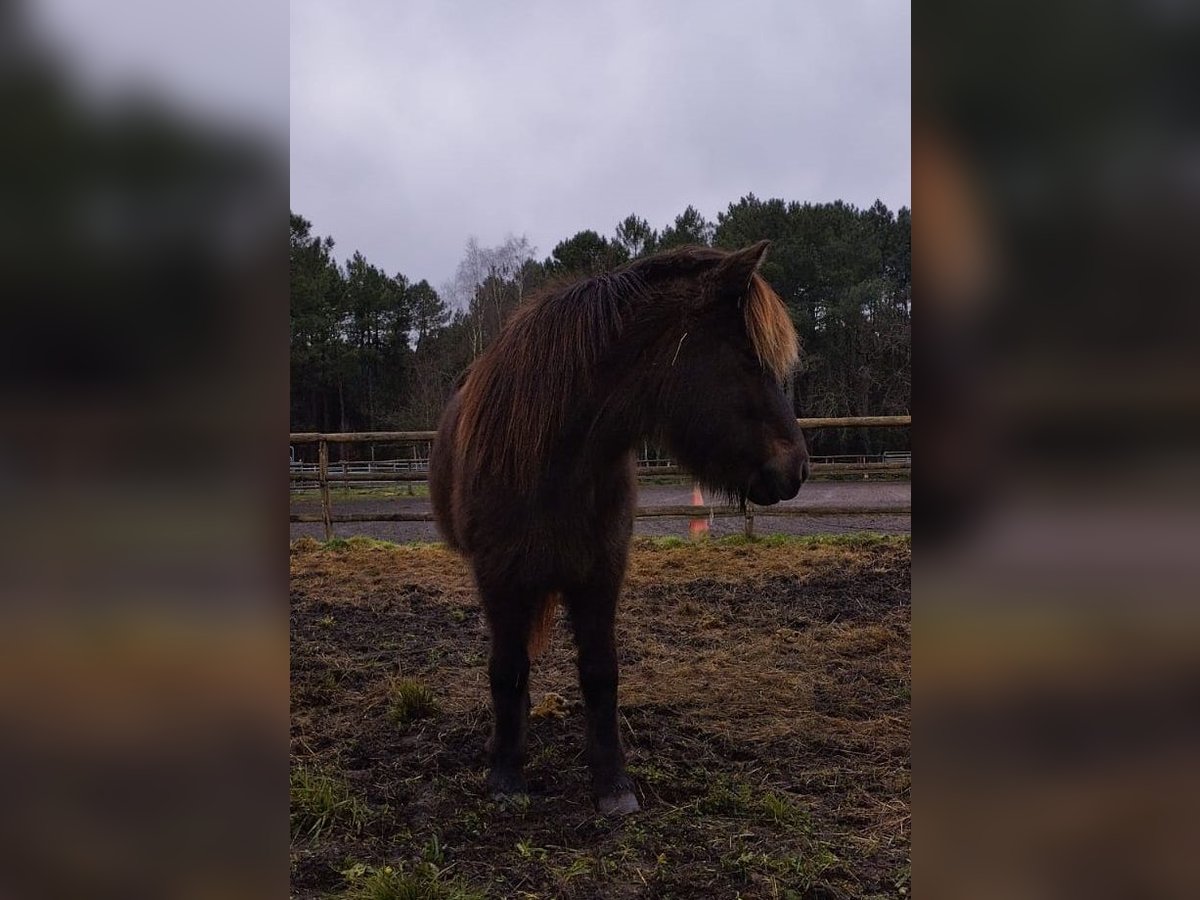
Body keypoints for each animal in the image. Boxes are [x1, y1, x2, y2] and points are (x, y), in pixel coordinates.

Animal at [427, 244, 811, 816]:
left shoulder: (601, 572)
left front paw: (612, 782)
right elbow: (508, 668)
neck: (554, 462)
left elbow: (600, 671)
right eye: (748, 359)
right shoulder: (499, 577)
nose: (798, 469)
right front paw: (506, 774)